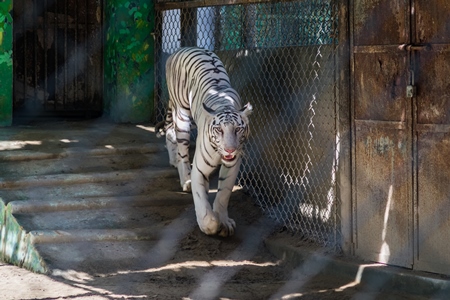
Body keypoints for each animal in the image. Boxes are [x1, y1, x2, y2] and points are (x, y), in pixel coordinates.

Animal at [156, 47, 251, 237]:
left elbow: (223, 195)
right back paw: (185, 178)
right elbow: (201, 201)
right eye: (219, 130)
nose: (230, 150)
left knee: (169, 131)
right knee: (182, 149)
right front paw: (210, 224)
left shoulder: (232, 167)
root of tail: (179, 50)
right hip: (183, 117)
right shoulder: (200, 169)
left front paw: (224, 221)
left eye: (238, 129)